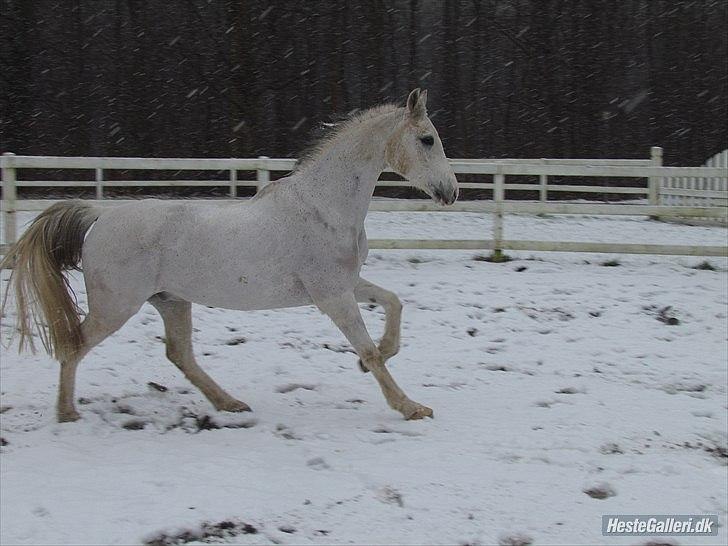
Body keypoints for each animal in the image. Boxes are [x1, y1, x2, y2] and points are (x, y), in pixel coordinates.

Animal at [0, 88, 458, 420]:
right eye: (427, 139)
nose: (451, 192)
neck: (322, 207)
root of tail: (100, 215)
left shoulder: (346, 285)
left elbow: (394, 304)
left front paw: (385, 356)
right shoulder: (332, 296)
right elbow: (366, 348)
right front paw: (410, 406)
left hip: (171, 301)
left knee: (179, 354)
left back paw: (229, 404)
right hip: (117, 306)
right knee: (74, 345)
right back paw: (67, 413)